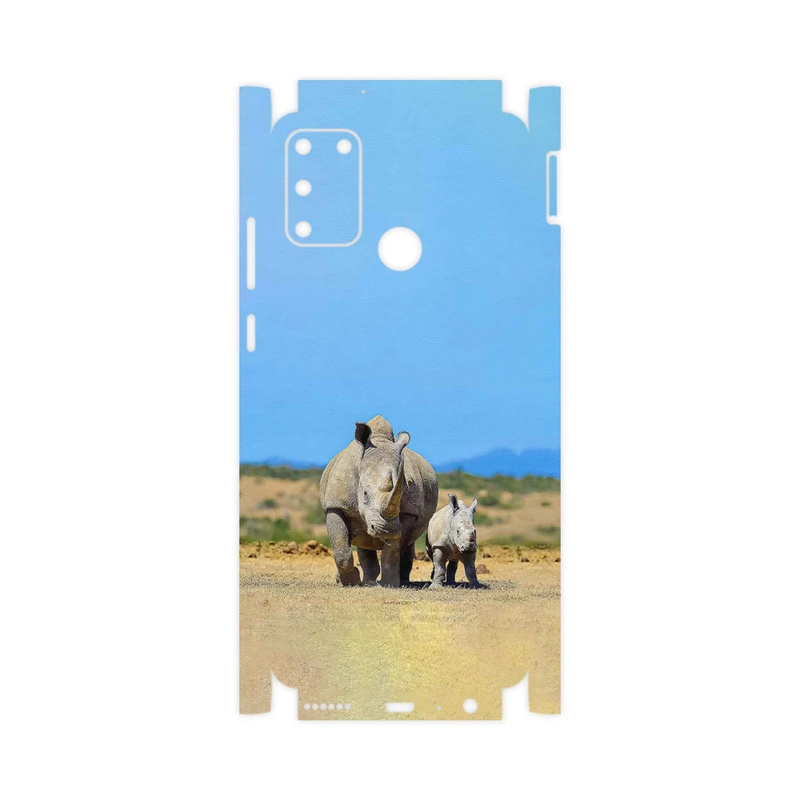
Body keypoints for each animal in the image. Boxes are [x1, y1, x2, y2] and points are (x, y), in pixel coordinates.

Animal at [319, 415, 438, 587]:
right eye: (365, 494)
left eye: (400, 494)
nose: (387, 529)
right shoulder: (336, 505)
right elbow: (341, 549)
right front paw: (350, 582)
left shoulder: (409, 512)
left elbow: (393, 550)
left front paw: (390, 584)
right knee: (363, 540)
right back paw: (365, 582)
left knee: (407, 544)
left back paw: (400, 581)